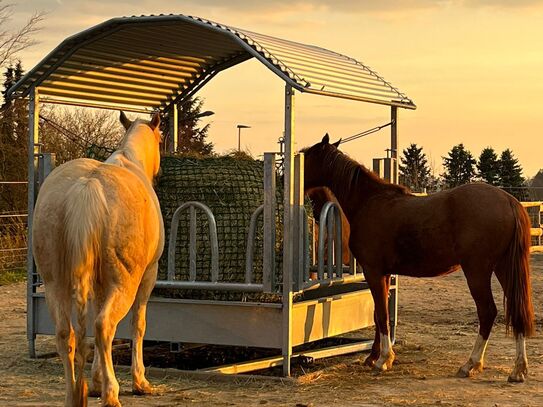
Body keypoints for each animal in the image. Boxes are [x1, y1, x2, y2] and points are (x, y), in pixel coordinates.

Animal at [31, 111, 163, 407]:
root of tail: (87, 187)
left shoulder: (98, 284)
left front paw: (94, 382)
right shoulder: (148, 276)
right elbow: (138, 325)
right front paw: (139, 382)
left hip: (55, 285)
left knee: (66, 334)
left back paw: (74, 394)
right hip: (125, 285)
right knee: (104, 326)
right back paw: (112, 394)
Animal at [304, 135, 536, 384]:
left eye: (304, 157)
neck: (369, 201)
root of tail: (509, 200)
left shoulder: (373, 271)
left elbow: (382, 315)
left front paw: (383, 359)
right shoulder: (384, 273)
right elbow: (379, 314)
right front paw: (375, 357)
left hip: (477, 271)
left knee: (487, 312)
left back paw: (471, 364)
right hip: (504, 268)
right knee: (517, 309)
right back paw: (518, 369)